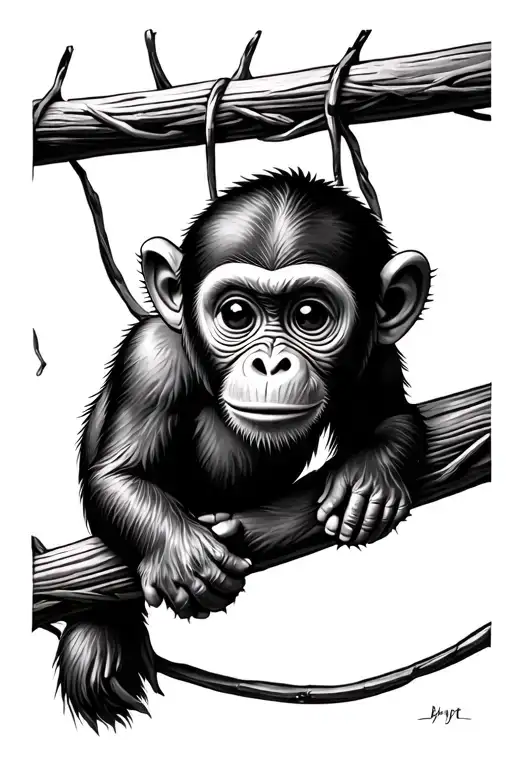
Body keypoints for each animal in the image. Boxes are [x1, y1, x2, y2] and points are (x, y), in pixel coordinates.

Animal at [55, 169, 431, 730]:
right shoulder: (152, 357)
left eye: (310, 314)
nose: (270, 363)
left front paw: (368, 479)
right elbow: (120, 475)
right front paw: (183, 554)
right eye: (236, 313)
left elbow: (393, 417)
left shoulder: (378, 351)